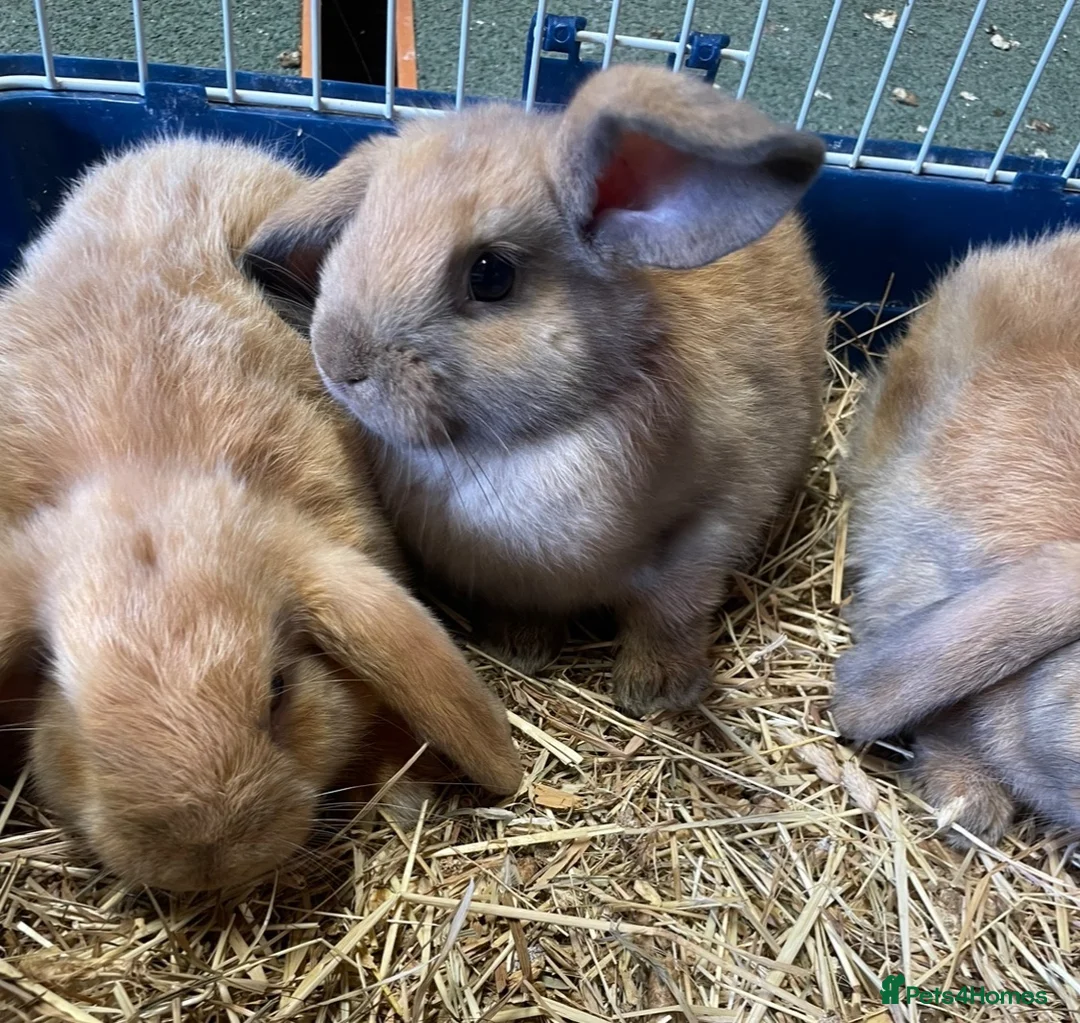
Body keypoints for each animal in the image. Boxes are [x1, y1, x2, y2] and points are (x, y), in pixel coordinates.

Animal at [0, 137, 522, 893]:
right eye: (66, 698)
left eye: (278, 688)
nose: (207, 850)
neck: (149, 468)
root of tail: (182, 143)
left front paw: (401, 795)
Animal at [241, 64, 830, 718]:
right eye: (357, 230)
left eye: (491, 275)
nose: (339, 362)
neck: (527, 440)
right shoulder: (511, 582)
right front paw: (521, 651)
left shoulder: (712, 526)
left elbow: (667, 614)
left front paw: (653, 692)